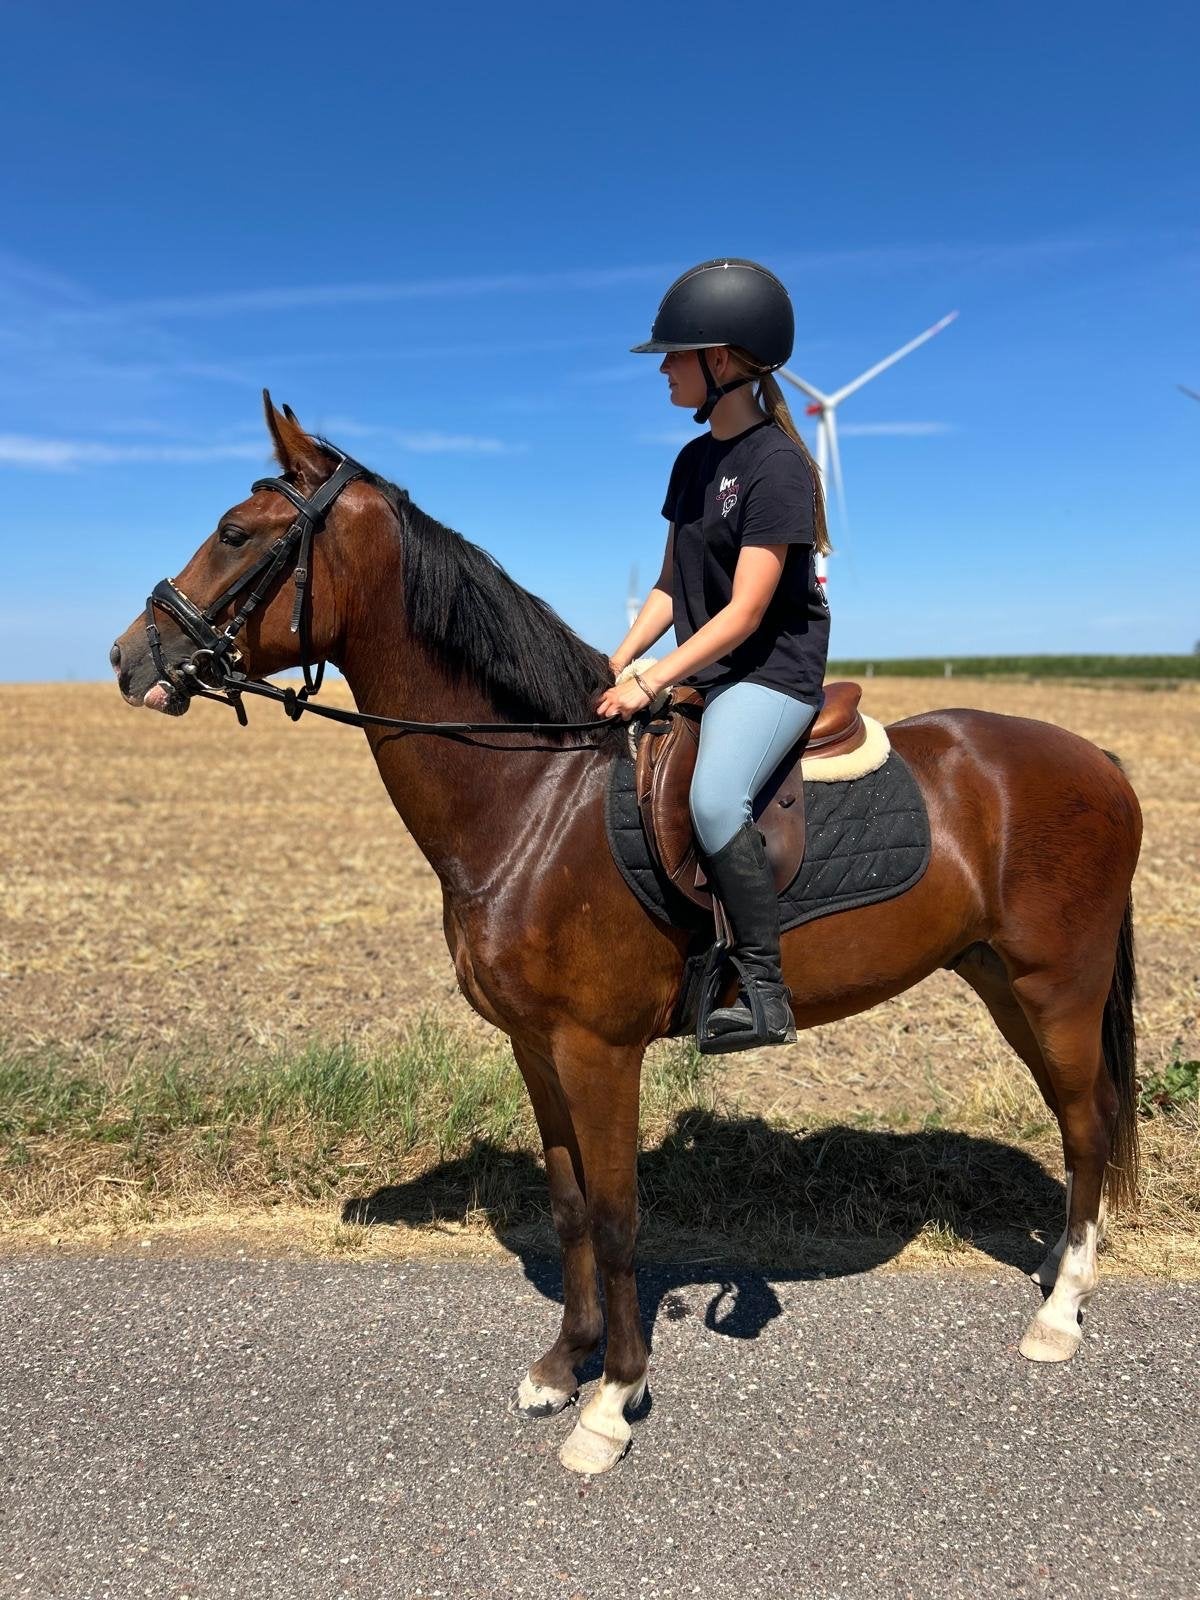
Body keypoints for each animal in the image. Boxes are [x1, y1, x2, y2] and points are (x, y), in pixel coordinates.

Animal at [110, 393, 1142, 1476]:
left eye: (235, 533)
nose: (128, 658)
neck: (533, 793)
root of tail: (1099, 760)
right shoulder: (535, 1046)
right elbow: (568, 1206)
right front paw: (563, 1366)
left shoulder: (597, 1050)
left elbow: (614, 1215)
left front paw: (612, 1400)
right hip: (1002, 980)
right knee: (1078, 1119)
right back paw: (1054, 1268)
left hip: (1057, 984)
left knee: (1086, 1120)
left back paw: (1060, 1314)